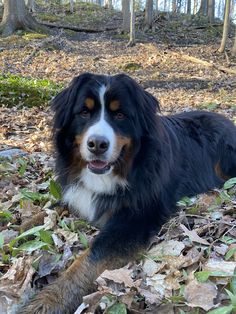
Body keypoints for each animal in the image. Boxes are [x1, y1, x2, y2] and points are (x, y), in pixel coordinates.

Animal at [20, 72, 236, 312]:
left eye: (120, 115)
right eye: (84, 112)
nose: (97, 144)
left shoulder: (135, 218)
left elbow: (91, 257)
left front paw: (49, 300)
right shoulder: (78, 193)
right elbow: (51, 209)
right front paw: (21, 227)